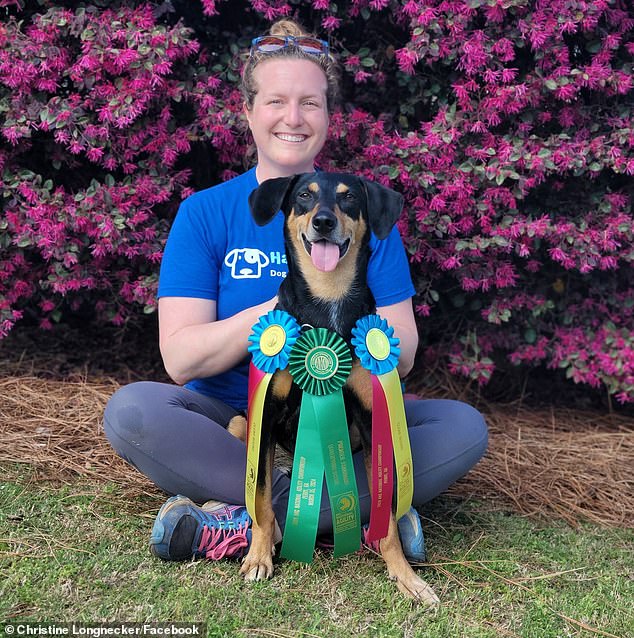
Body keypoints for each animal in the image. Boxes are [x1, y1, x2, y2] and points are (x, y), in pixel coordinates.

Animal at [227, 172, 440, 608]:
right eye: (304, 196)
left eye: (349, 198)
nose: (323, 221)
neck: (327, 305)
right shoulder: (266, 413)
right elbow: (261, 498)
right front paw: (258, 556)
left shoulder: (373, 417)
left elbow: (386, 513)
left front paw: (405, 576)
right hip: (241, 423)